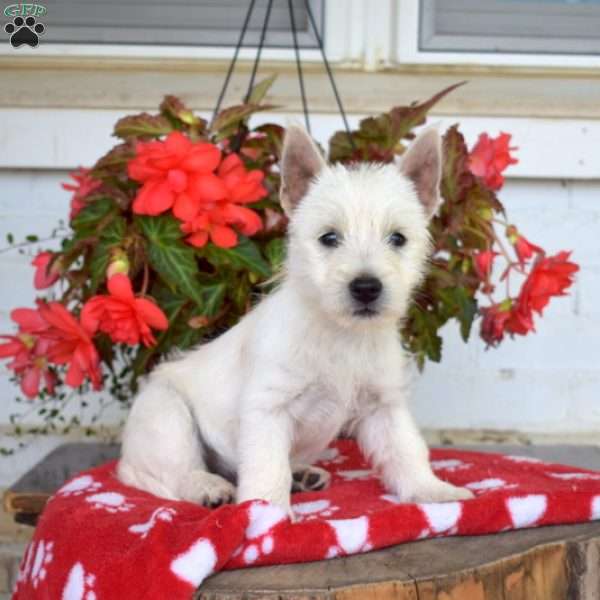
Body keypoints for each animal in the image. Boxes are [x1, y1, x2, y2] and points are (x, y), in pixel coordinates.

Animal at [117, 125, 474, 510]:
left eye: (398, 238)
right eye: (329, 238)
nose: (366, 287)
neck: (340, 333)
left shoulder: (384, 406)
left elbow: (407, 451)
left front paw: (435, 491)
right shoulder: (268, 407)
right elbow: (267, 467)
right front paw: (265, 513)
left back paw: (302, 475)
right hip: (166, 415)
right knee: (166, 474)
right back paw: (207, 487)